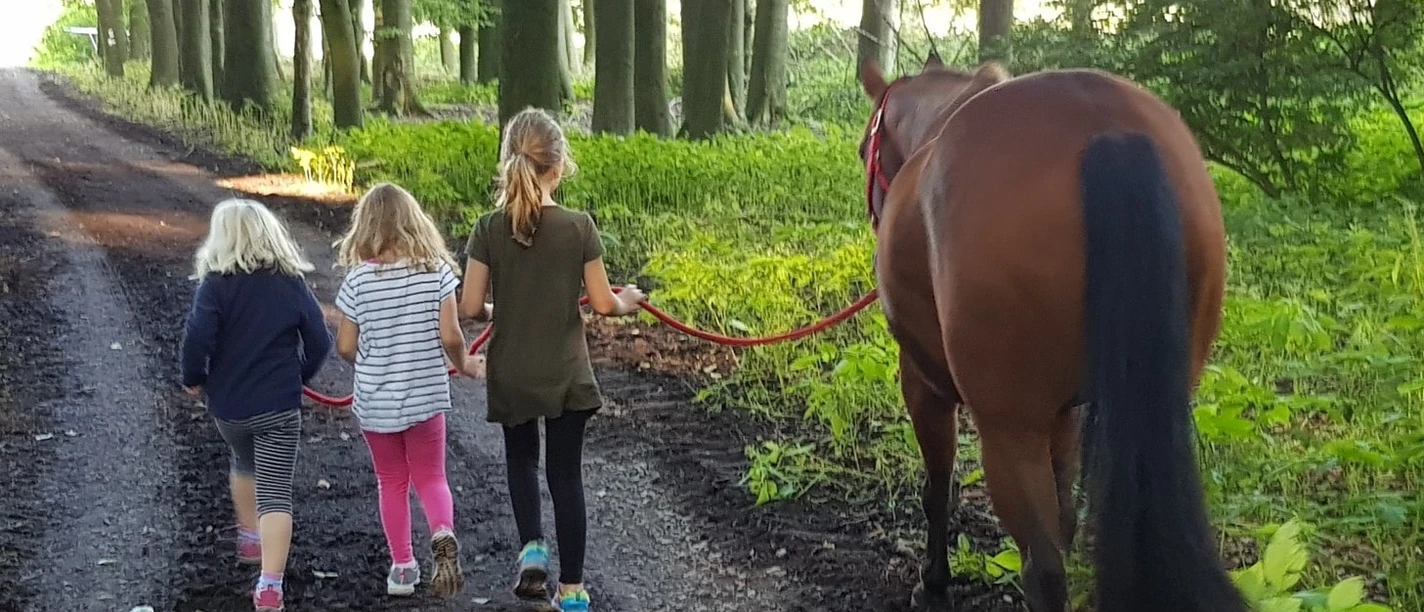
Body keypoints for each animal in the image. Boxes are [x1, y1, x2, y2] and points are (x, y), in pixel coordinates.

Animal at [858, 55, 1246, 612]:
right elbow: (1064, 516)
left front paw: (933, 583)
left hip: (1009, 432)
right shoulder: (1064, 415)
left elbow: (938, 490)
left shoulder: (924, 385)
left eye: (864, 148)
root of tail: (1104, 128)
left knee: (1042, 569)